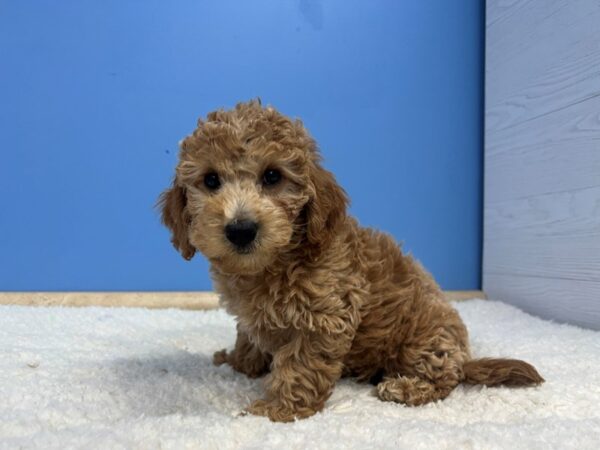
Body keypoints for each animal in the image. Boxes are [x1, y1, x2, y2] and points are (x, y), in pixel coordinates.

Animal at [159, 99, 544, 422]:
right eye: (211, 180)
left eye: (272, 176)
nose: (241, 229)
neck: (272, 264)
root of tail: (466, 355)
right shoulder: (253, 314)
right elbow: (248, 336)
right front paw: (238, 362)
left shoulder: (323, 317)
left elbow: (300, 365)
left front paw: (277, 409)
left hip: (424, 336)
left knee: (446, 377)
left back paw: (406, 387)